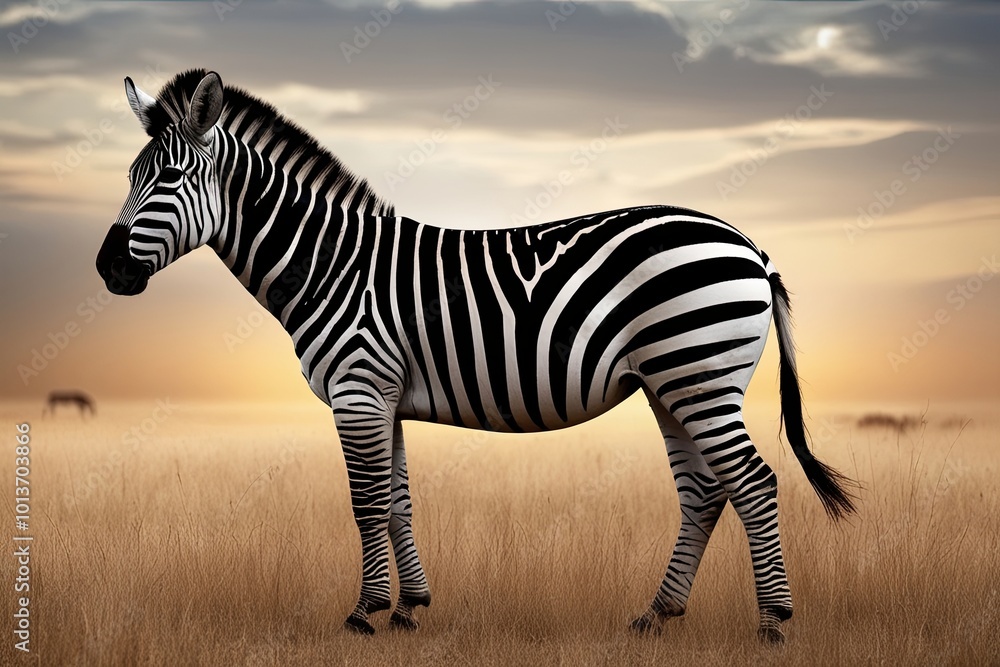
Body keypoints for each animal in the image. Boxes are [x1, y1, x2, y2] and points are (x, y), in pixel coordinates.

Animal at [96, 70, 856, 642]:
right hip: (675, 383)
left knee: (753, 482)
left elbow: (366, 502)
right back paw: (655, 615)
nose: (107, 269)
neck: (327, 263)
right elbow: (397, 501)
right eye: (130, 176)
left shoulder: (357, 388)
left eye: (167, 178)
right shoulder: (382, 396)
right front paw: (409, 608)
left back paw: (774, 623)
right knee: (704, 491)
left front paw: (364, 613)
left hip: (698, 373)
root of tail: (749, 245)